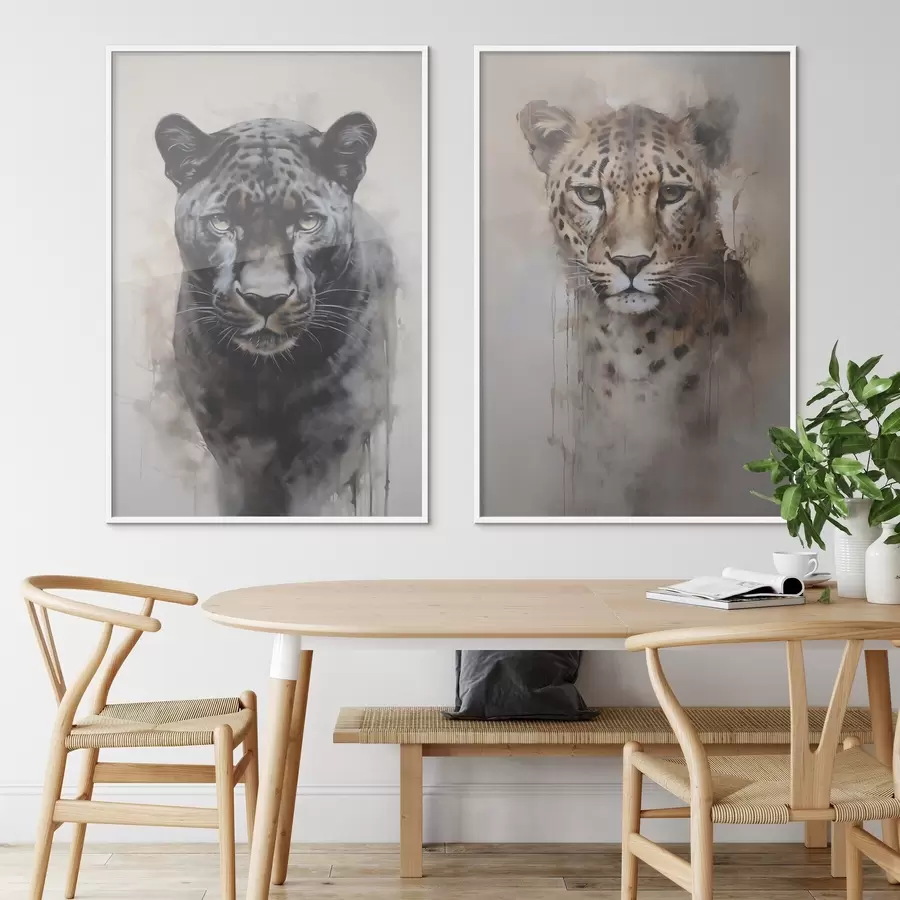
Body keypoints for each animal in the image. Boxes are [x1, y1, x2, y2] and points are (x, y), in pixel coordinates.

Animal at [155, 111, 396, 516]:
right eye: (221, 222)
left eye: (307, 222)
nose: (265, 298)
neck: (269, 378)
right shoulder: (230, 440)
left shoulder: (336, 432)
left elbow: (308, 501)